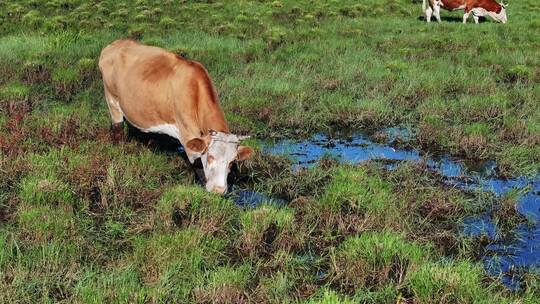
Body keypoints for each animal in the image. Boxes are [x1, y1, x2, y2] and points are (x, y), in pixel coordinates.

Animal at [98, 39, 254, 195]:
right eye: (210, 157)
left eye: (232, 162)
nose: (218, 190)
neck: (195, 91)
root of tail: (114, 44)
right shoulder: (187, 136)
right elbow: (199, 167)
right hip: (112, 99)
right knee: (117, 128)